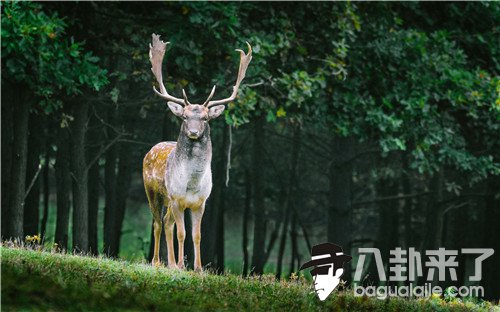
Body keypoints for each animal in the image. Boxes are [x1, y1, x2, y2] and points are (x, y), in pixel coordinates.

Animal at [143, 34, 252, 270]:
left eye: (205, 118)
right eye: (184, 116)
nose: (193, 132)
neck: (192, 184)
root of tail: (151, 149)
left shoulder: (201, 202)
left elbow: (197, 235)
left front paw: (198, 268)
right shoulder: (177, 199)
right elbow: (182, 233)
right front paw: (182, 265)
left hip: (168, 200)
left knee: (167, 222)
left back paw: (170, 263)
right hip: (153, 192)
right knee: (157, 223)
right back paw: (158, 262)